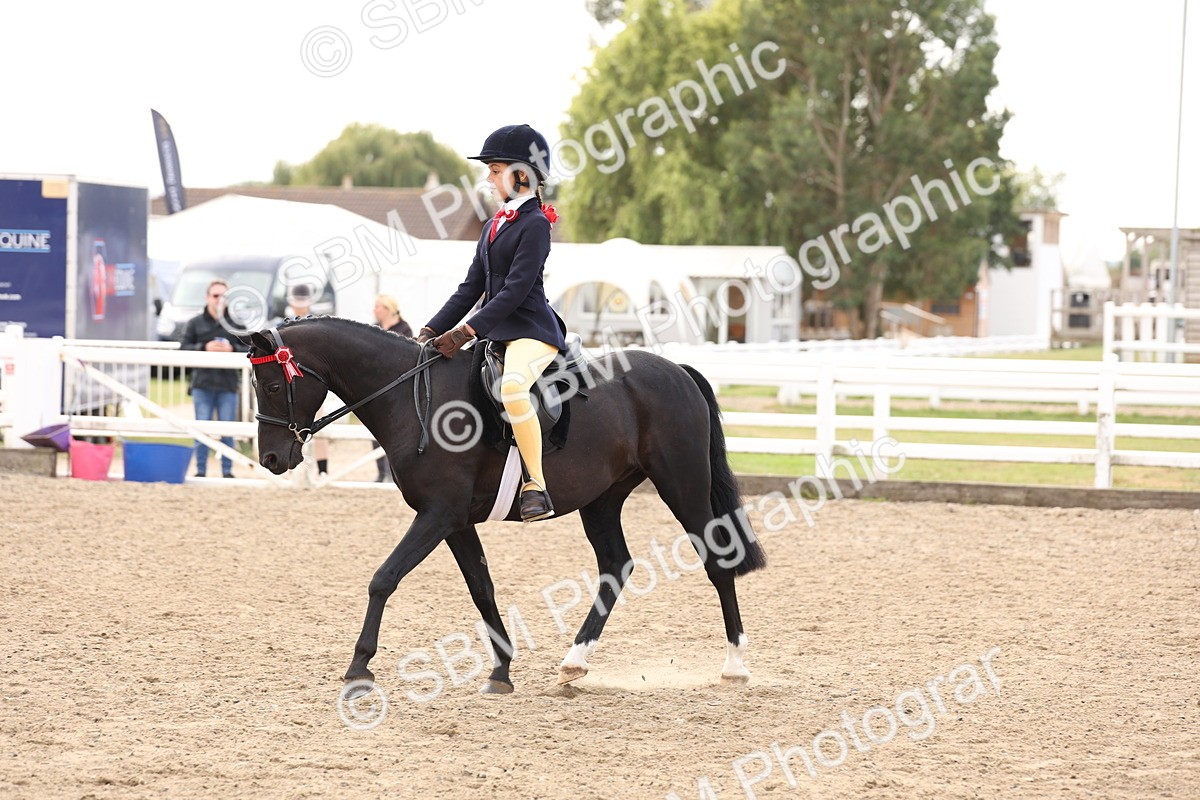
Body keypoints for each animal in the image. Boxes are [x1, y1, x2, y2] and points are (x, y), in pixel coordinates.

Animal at [246, 317, 766, 694]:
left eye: (271, 386)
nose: (271, 459)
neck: (412, 399)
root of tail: (677, 371)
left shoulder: (438, 515)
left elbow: (384, 578)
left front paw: (359, 666)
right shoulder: (453, 521)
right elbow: (482, 588)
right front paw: (501, 671)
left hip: (683, 486)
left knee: (716, 562)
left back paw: (735, 666)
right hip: (602, 500)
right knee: (616, 565)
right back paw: (573, 664)